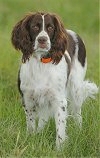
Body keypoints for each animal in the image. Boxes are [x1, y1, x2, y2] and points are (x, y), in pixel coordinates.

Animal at [11, 12, 98, 148]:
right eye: (35, 27)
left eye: (50, 28)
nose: (42, 40)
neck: (41, 63)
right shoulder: (28, 99)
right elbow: (31, 124)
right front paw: (32, 138)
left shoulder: (59, 100)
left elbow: (60, 128)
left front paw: (59, 148)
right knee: (44, 117)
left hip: (76, 88)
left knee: (77, 112)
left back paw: (79, 130)